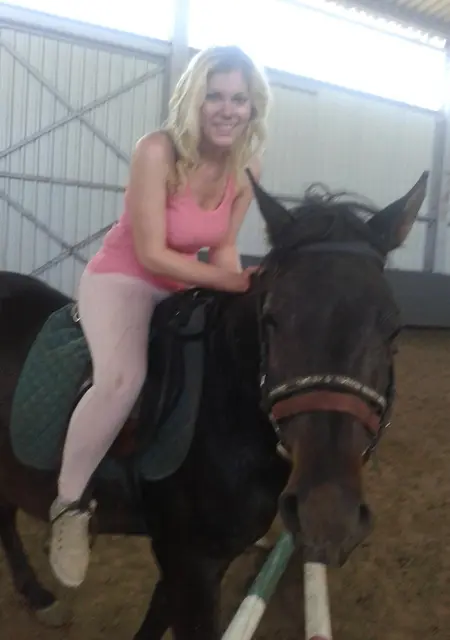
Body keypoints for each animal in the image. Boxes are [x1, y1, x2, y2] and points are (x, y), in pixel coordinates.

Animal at [0, 168, 428, 639]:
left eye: (394, 329)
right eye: (272, 319)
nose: (327, 515)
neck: (225, 414)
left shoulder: (185, 561)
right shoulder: (193, 563)